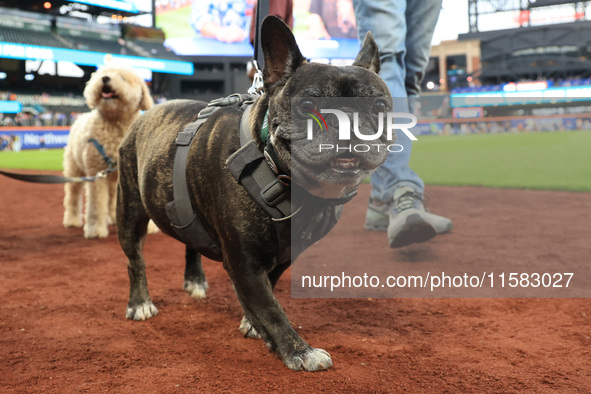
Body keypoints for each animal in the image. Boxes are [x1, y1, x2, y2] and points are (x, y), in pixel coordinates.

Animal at [63, 66, 155, 239]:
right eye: (101, 73)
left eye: (123, 77)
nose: (105, 78)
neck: (116, 124)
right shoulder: (96, 173)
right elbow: (96, 205)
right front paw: (95, 230)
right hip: (74, 170)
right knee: (72, 196)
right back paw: (72, 220)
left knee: (113, 198)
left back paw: (113, 218)